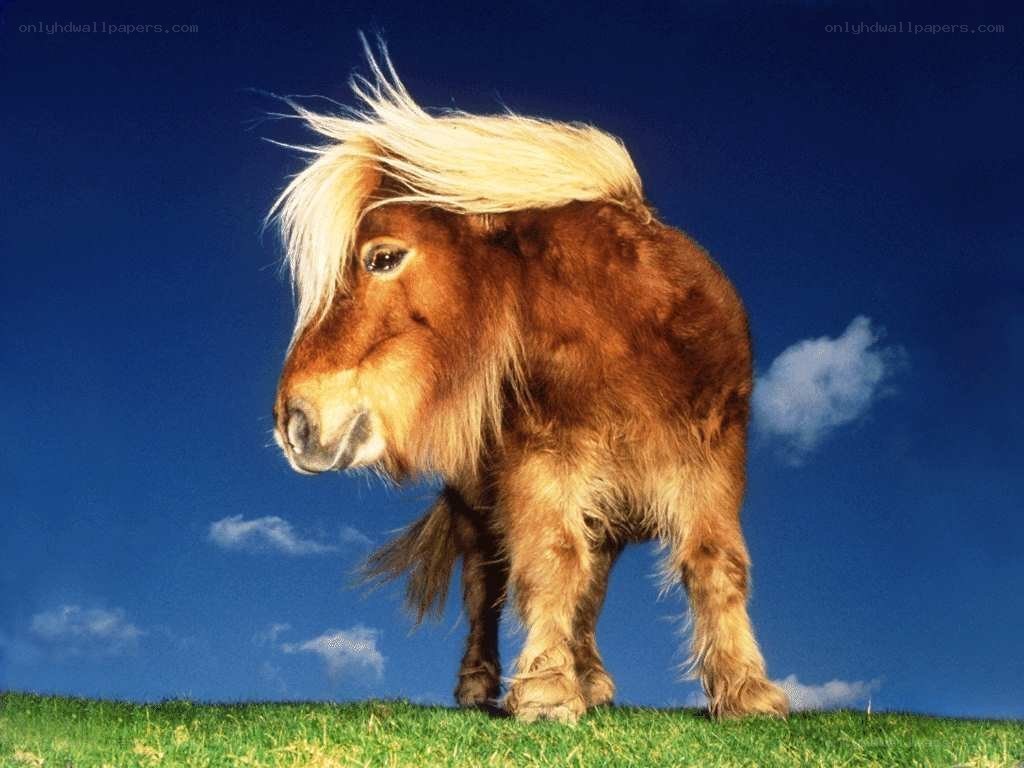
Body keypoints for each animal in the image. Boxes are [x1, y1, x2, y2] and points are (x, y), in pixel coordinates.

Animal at [269, 42, 788, 723]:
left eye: (382, 257)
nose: (294, 422)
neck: (630, 340)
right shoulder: (543, 462)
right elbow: (549, 562)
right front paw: (544, 690)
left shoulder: (713, 463)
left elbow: (717, 564)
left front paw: (746, 691)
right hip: (479, 506)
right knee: (485, 585)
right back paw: (481, 684)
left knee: (591, 585)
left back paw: (592, 677)